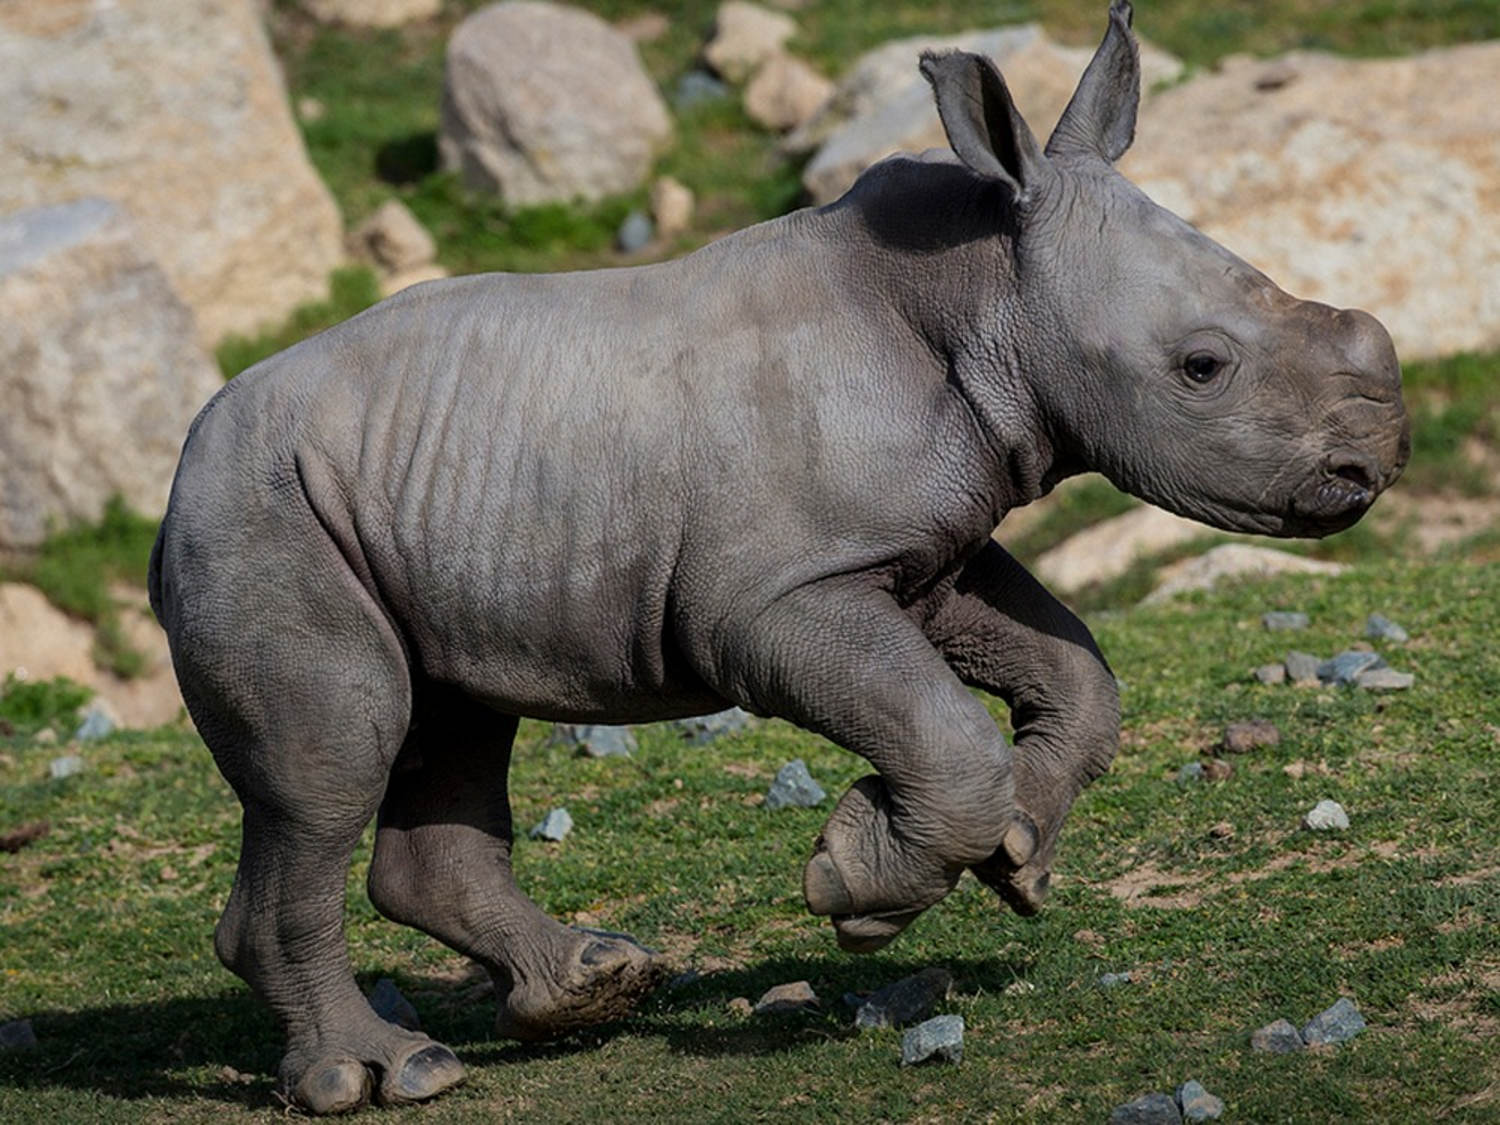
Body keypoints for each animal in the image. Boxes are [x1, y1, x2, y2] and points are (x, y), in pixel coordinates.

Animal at [148, 2, 1408, 1112]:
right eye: (1203, 367)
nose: (1378, 460)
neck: (984, 293)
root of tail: (180, 469)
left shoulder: (925, 546)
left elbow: (1075, 671)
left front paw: (1016, 861)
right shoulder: (771, 597)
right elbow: (939, 725)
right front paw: (858, 888)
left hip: (400, 496)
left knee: (452, 721)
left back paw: (594, 986)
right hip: (260, 515)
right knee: (333, 763)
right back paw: (385, 1077)